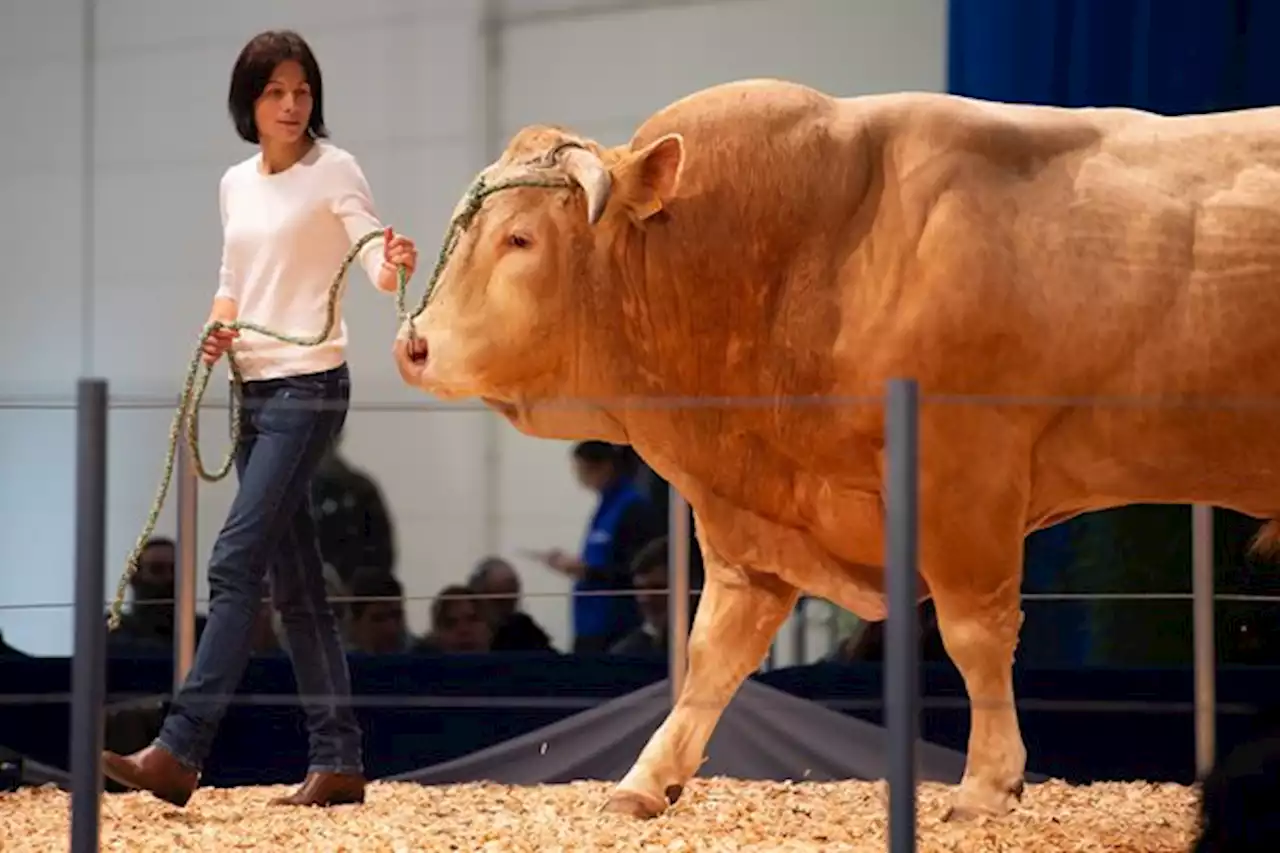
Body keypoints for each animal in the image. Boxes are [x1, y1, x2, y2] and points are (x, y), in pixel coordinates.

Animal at [391, 79, 1280, 819]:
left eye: (520, 239)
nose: (414, 343)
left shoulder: (964, 475)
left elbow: (975, 632)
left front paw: (987, 784)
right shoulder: (751, 522)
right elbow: (714, 650)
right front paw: (646, 779)